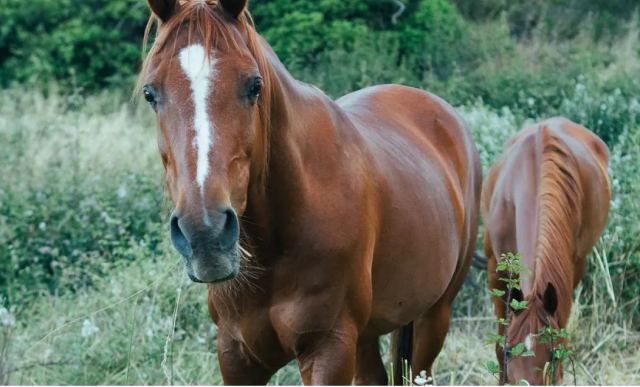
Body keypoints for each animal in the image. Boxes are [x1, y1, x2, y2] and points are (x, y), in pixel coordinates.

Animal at [139, 0, 480, 384]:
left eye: (254, 85)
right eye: (150, 93)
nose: (205, 234)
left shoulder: (328, 349)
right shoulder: (236, 355)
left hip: (433, 318)